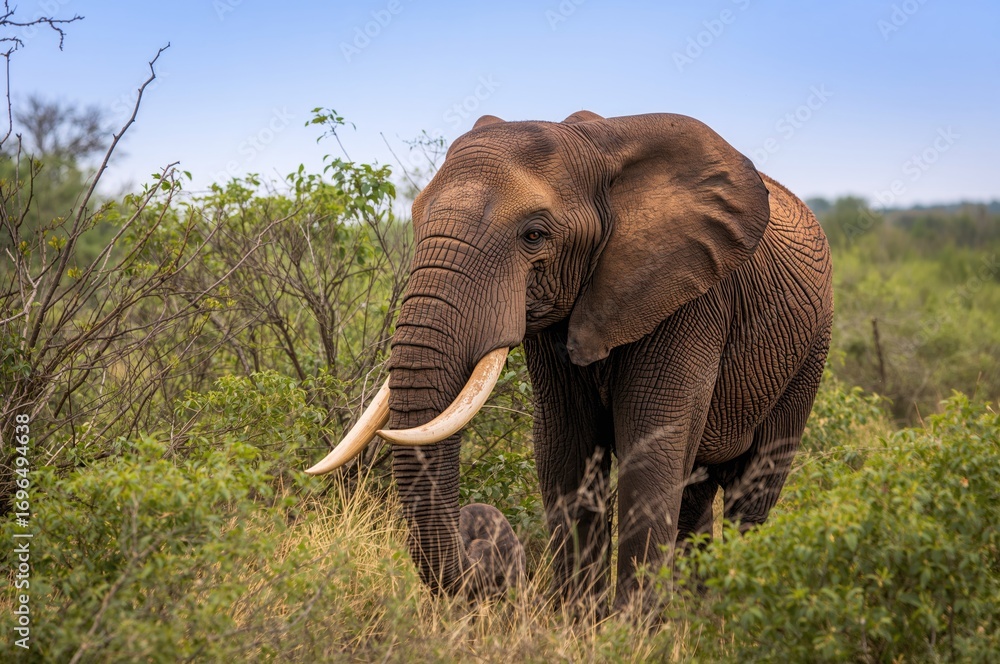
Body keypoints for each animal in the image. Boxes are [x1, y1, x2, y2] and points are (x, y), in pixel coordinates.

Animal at [307, 111, 833, 612]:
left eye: (534, 235)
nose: (480, 525)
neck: (600, 147)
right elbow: (565, 448)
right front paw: (581, 621)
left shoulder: (691, 300)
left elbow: (650, 452)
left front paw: (631, 631)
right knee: (697, 490)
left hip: (810, 353)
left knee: (755, 489)